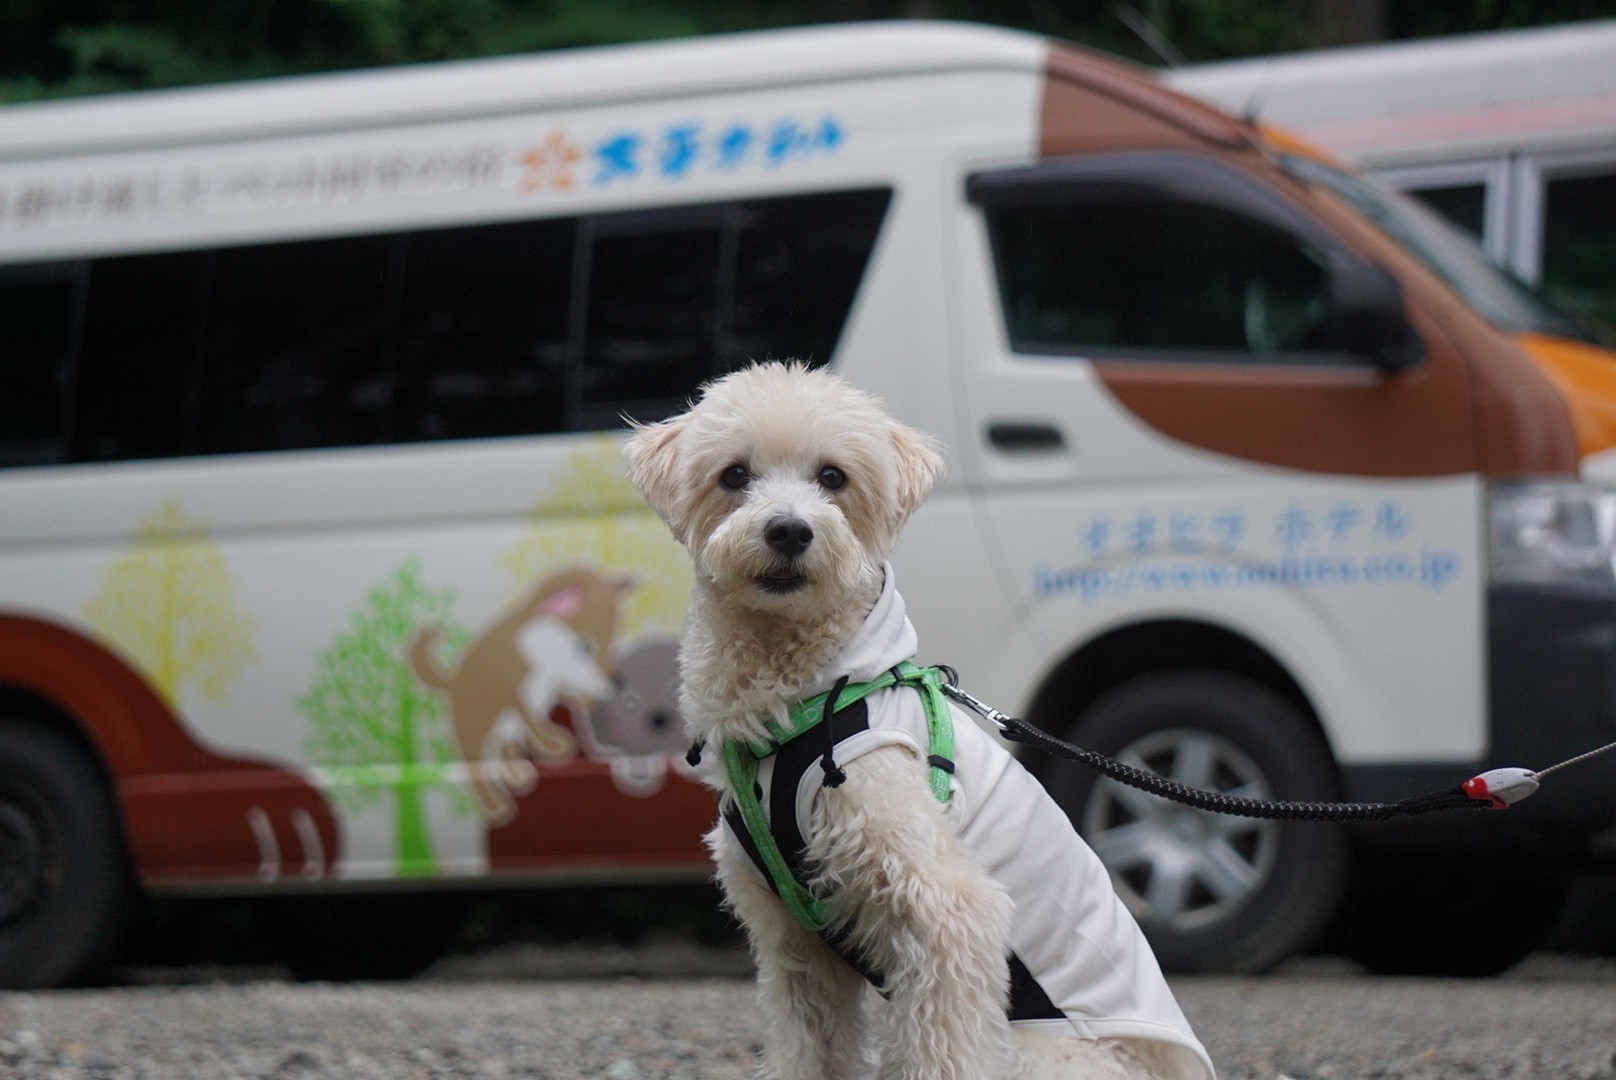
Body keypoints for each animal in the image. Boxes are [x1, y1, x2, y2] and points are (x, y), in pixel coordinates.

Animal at [623, 365, 1208, 1080]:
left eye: (833, 476)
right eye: (734, 475)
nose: (789, 530)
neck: (796, 708)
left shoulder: (947, 916)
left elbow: (940, 1049)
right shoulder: (795, 945)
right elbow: (804, 1047)